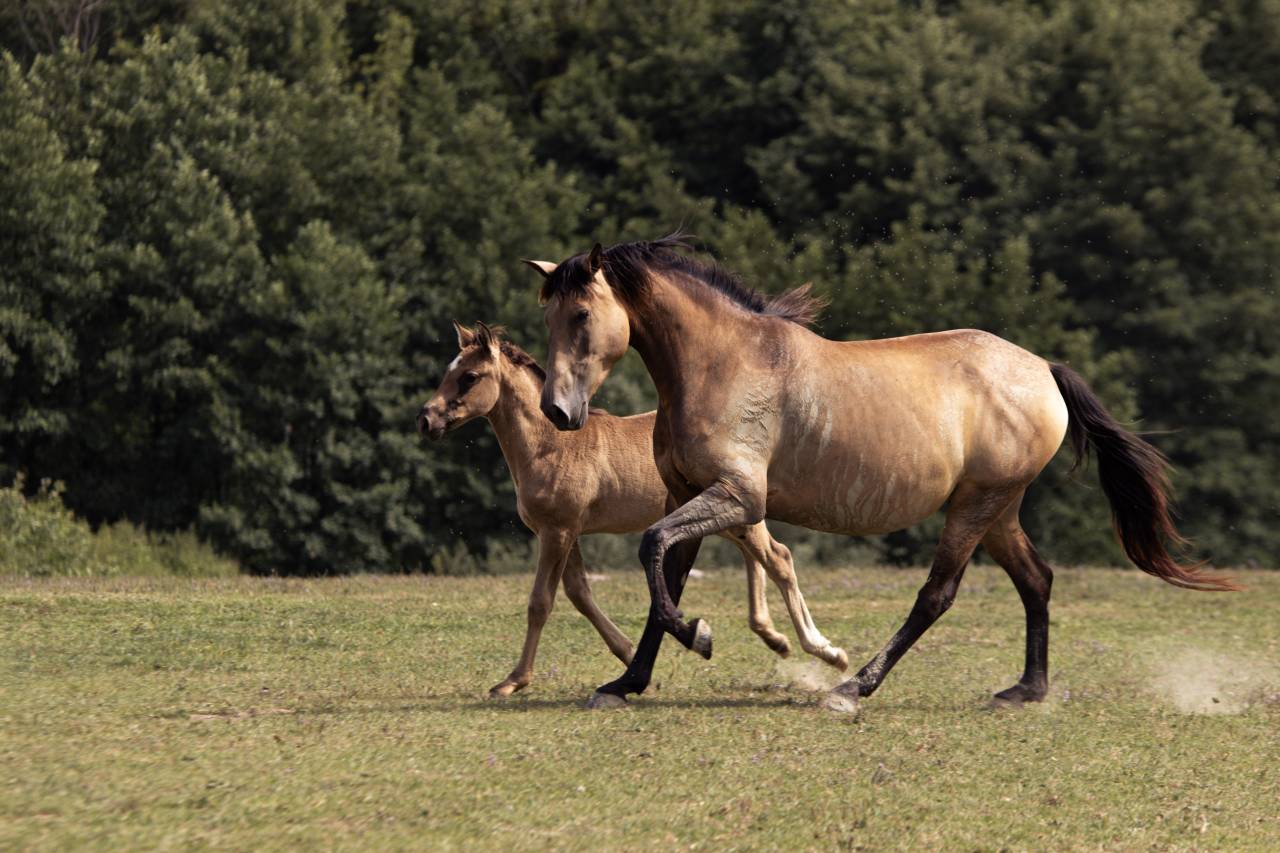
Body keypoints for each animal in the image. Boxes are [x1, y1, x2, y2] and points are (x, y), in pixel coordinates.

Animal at [417, 320, 847, 698]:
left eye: (470, 377)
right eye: (449, 371)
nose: (426, 419)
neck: (551, 445)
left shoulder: (557, 532)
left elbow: (541, 602)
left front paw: (512, 681)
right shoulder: (563, 532)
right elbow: (579, 593)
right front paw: (629, 657)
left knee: (778, 557)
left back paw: (827, 653)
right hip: (726, 517)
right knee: (757, 557)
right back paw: (775, 638)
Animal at [525, 235, 1237, 711]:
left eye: (581, 316)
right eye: (547, 315)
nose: (557, 412)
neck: (724, 363)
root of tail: (1042, 369)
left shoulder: (739, 498)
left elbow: (653, 552)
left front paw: (699, 637)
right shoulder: (690, 495)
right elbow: (661, 582)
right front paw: (625, 683)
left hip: (976, 506)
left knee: (937, 596)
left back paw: (853, 686)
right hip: (998, 508)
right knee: (1037, 579)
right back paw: (1025, 690)